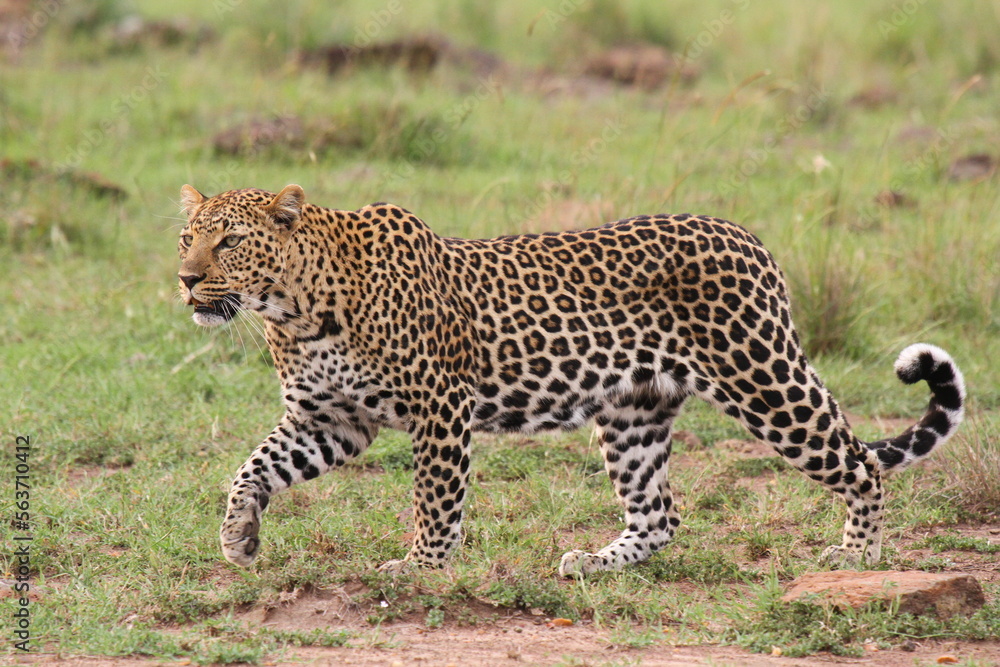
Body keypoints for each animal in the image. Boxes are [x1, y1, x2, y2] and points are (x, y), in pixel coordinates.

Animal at [176, 185, 964, 576]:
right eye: (187, 236)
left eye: (231, 240)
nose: (185, 279)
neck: (294, 308)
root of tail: (749, 238)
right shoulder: (333, 420)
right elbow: (253, 468)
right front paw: (239, 539)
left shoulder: (440, 406)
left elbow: (435, 498)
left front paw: (421, 566)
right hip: (634, 411)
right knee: (660, 512)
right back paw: (598, 562)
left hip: (763, 379)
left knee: (860, 462)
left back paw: (858, 554)